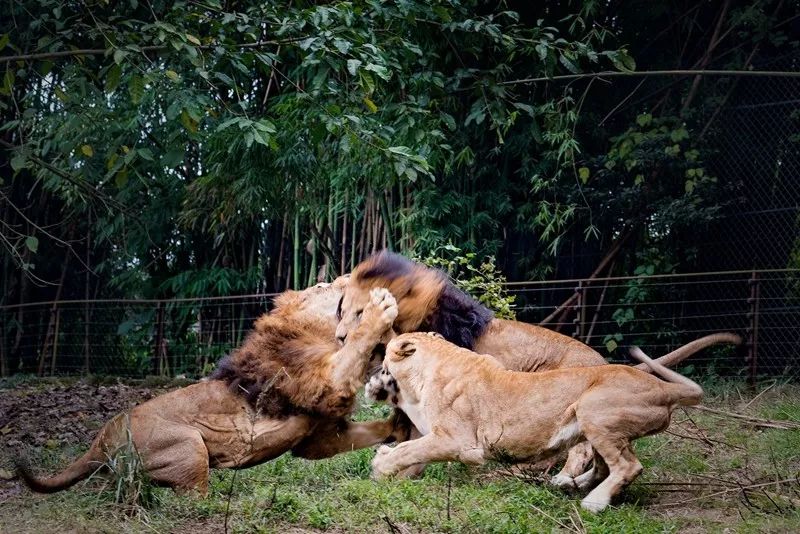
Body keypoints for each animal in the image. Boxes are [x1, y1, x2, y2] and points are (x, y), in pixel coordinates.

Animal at [17, 280, 406, 494]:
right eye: (324, 286)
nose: (350, 276)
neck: (314, 331)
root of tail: (98, 441)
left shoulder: (317, 437)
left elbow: (369, 431)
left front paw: (400, 426)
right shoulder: (324, 382)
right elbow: (357, 342)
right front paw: (380, 307)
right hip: (188, 445)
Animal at [334, 253, 740, 488]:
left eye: (357, 313)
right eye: (340, 310)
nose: (338, 337)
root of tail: (604, 362)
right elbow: (413, 438)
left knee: (581, 450)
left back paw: (555, 477)